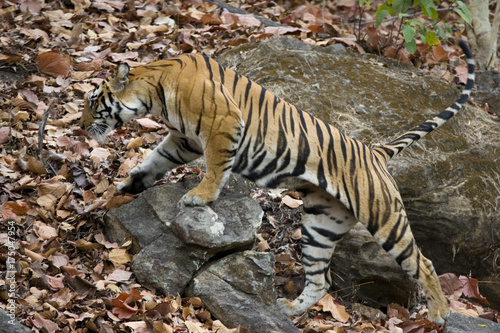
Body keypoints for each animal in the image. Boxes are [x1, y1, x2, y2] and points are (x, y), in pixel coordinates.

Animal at [80, 39, 474, 324]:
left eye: (92, 102)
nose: (80, 126)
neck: (155, 91)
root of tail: (375, 152)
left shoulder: (223, 124)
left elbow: (215, 168)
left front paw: (199, 196)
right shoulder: (185, 139)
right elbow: (157, 159)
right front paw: (131, 184)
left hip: (384, 218)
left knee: (423, 263)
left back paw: (440, 314)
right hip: (321, 224)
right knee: (320, 279)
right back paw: (289, 310)